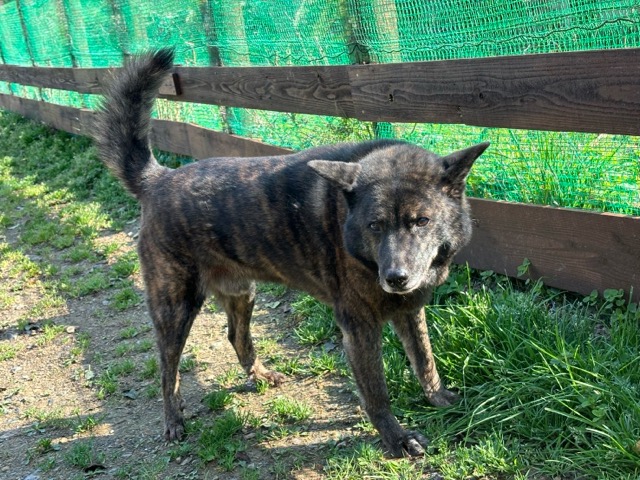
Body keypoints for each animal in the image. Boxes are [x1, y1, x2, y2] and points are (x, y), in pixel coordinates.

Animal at [94, 48, 489, 457]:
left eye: (422, 220)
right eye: (374, 225)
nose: (396, 278)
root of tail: (158, 179)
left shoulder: (409, 311)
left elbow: (425, 360)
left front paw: (441, 399)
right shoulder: (359, 327)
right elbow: (376, 393)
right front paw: (396, 438)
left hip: (242, 292)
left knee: (236, 336)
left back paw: (260, 375)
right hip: (175, 307)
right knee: (167, 368)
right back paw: (173, 421)